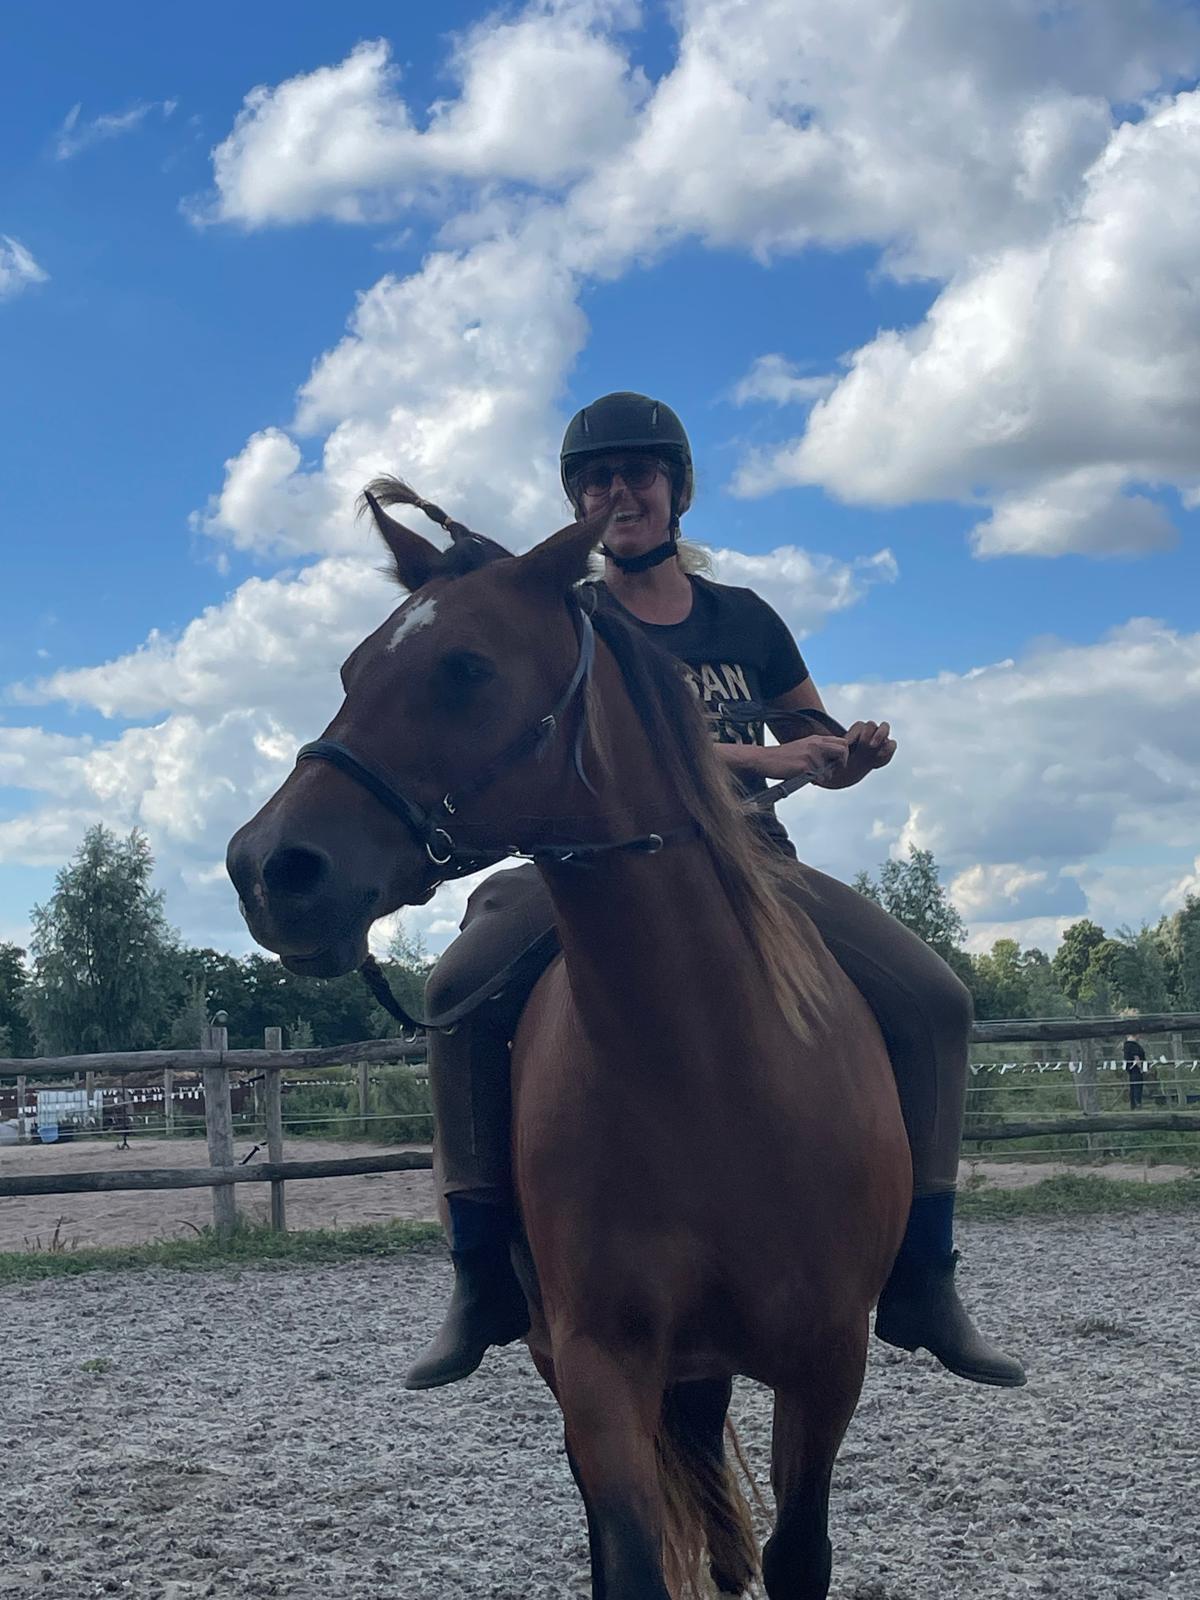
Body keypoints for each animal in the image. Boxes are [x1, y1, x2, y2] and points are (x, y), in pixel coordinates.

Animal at [227, 483, 911, 1599]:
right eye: (349, 672)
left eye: (465, 668)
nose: (266, 868)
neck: (705, 1070)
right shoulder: (599, 1367)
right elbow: (626, 1556)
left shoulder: (826, 1362)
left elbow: (797, 1553)